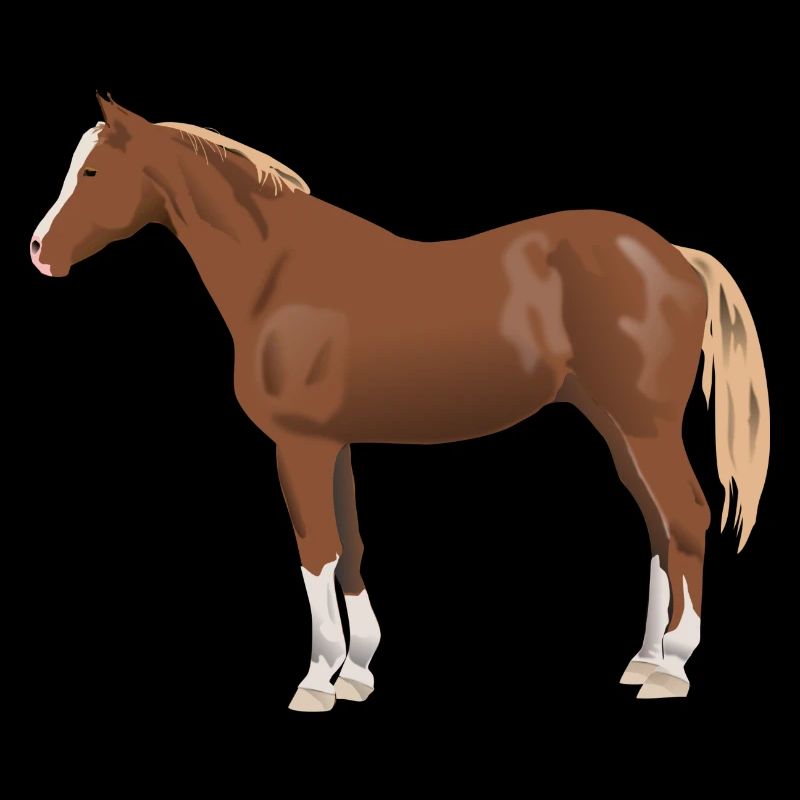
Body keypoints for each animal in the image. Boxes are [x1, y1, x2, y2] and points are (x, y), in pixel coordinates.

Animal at [30, 94, 769, 711]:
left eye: (91, 172)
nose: (38, 251)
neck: (279, 275)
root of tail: (675, 254)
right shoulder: (335, 442)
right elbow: (352, 546)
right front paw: (356, 673)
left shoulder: (299, 444)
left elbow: (317, 551)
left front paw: (314, 683)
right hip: (616, 425)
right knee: (658, 526)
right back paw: (643, 659)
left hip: (643, 424)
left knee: (686, 515)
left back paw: (672, 670)